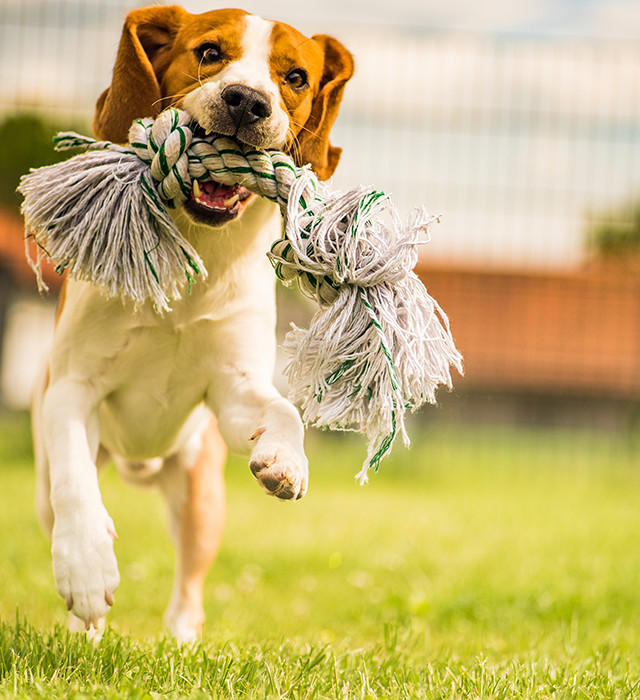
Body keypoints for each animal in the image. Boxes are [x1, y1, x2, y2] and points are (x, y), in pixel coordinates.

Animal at [31, 5, 356, 644]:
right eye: (209, 52)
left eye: (296, 77)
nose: (246, 101)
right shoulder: (72, 387)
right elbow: (77, 484)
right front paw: (86, 568)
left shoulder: (231, 390)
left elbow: (282, 410)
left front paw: (286, 460)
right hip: (45, 489)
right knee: (67, 498)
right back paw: (87, 629)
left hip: (201, 496)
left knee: (189, 586)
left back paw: (181, 643)